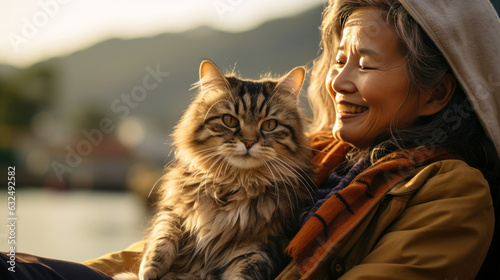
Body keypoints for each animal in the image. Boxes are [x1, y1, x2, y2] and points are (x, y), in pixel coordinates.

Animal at [115, 59, 314, 280]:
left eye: (269, 124)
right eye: (229, 120)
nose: (249, 142)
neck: (233, 184)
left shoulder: (258, 249)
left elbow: (242, 275)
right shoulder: (173, 209)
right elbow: (162, 236)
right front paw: (149, 270)